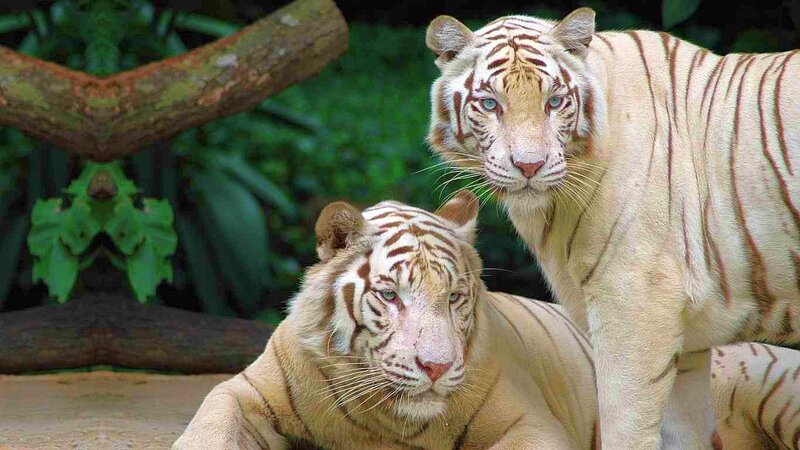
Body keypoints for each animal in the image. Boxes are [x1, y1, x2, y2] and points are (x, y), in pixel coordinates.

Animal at [173, 190, 600, 450]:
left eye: (454, 297)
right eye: (391, 295)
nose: (436, 367)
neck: (385, 422)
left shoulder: (532, 423)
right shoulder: (244, 391)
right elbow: (213, 425)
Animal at [425, 7, 800, 449]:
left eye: (554, 102)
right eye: (489, 103)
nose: (529, 166)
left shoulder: (634, 309)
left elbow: (625, 426)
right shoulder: (687, 346)